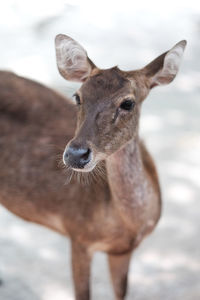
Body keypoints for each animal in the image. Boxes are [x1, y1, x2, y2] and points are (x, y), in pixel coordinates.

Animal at [0, 35, 186, 300]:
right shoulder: (78, 235)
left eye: (128, 103)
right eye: (77, 96)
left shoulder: (122, 251)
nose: (76, 154)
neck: (130, 225)